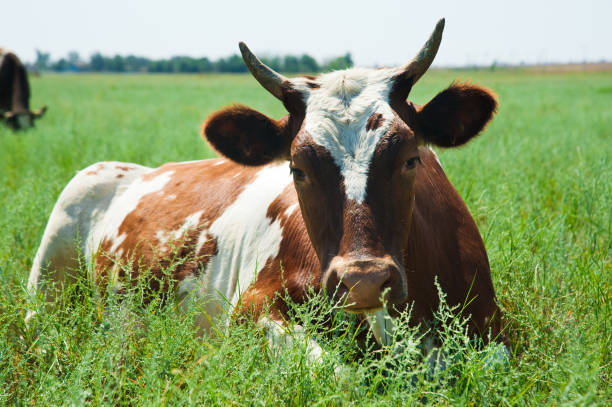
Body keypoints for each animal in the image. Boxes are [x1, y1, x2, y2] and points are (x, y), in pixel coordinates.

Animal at [27, 19, 506, 354]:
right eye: (297, 169)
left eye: (410, 158)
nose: (364, 280)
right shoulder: (250, 313)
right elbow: (335, 373)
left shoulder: (493, 331)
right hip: (45, 291)